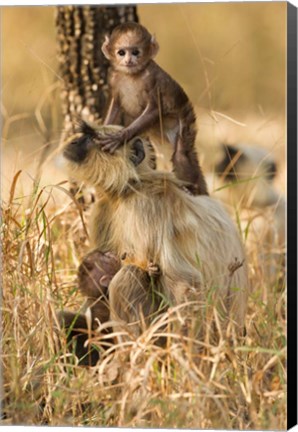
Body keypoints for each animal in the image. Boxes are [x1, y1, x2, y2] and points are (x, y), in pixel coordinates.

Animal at [99, 22, 208, 194]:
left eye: (136, 52)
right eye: (121, 52)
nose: (129, 60)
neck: (131, 75)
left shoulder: (152, 79)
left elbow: (155, 109)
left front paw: (120, 137)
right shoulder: (113, 78)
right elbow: (114, 106)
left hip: (185, 122)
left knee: (181, 155)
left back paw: (193, 189)